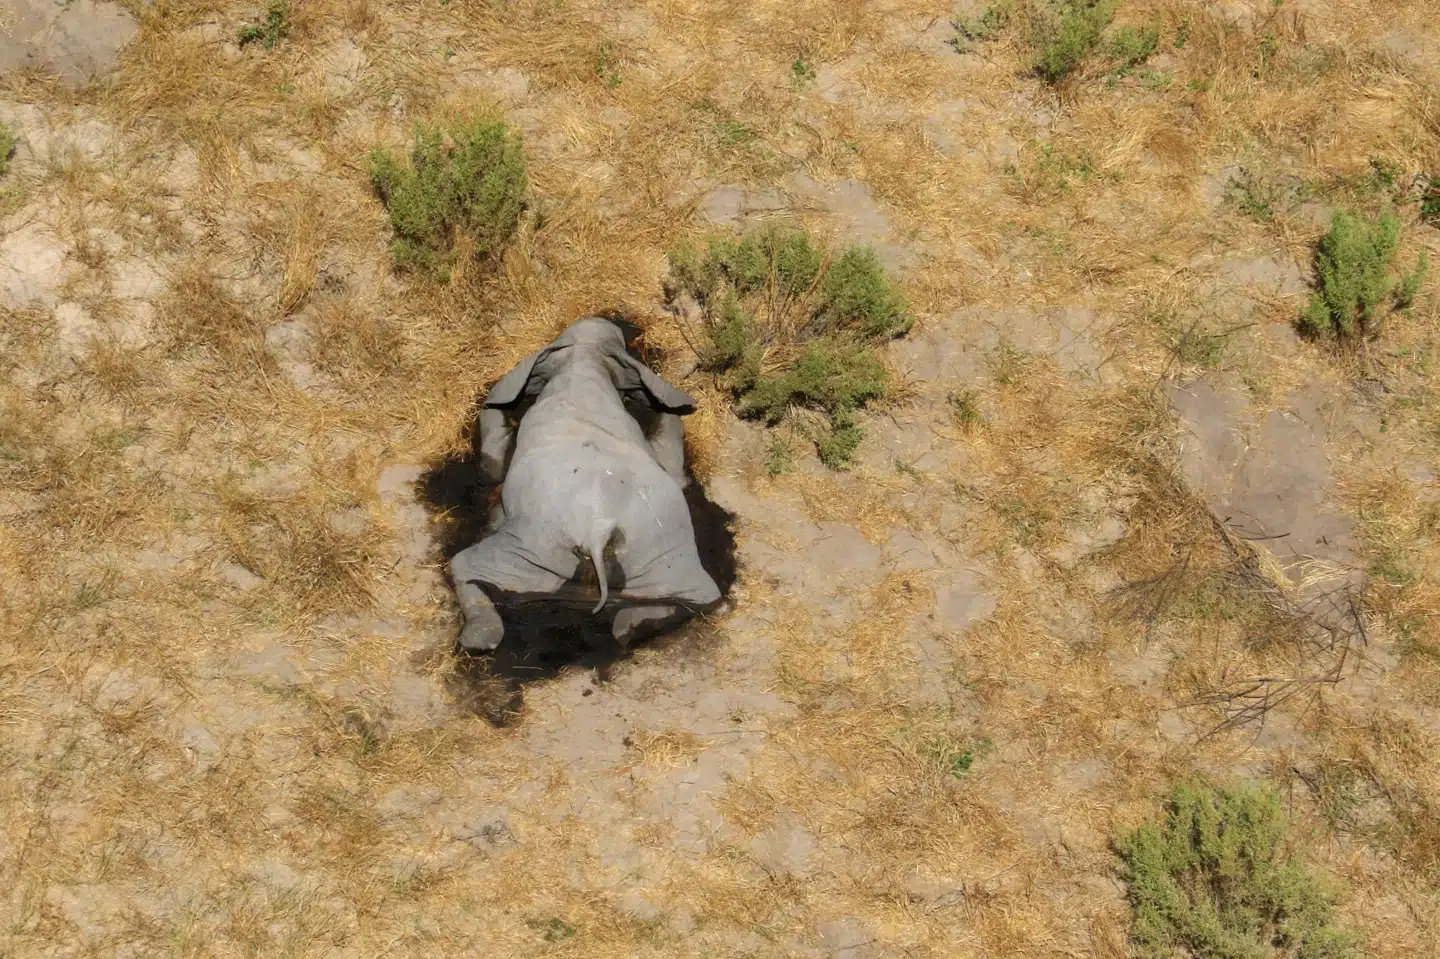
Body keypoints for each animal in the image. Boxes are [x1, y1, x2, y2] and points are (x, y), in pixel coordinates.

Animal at [449, 317, 723, 652]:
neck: (584, 359)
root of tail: (597, 533)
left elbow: (493, 459)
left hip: (531, 550)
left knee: (463, 565)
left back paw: (478, 638)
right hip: (663, 557)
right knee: (702, 597)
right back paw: (629, 628)